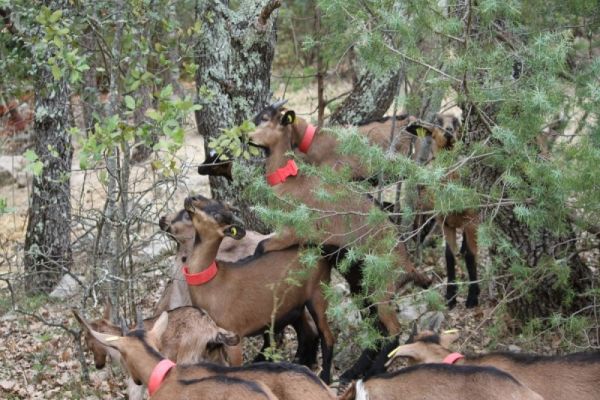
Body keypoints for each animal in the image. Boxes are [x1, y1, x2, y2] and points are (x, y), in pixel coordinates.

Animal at [180, 195, 336, 382]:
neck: (212, 282)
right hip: (294, 305)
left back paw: (325, 377)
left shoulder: (235, 337)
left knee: (327, 336)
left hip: (318, 294)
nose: (192, 197)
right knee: (308, 332)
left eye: (217, 215)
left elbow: (235, 367)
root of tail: (322, 253)